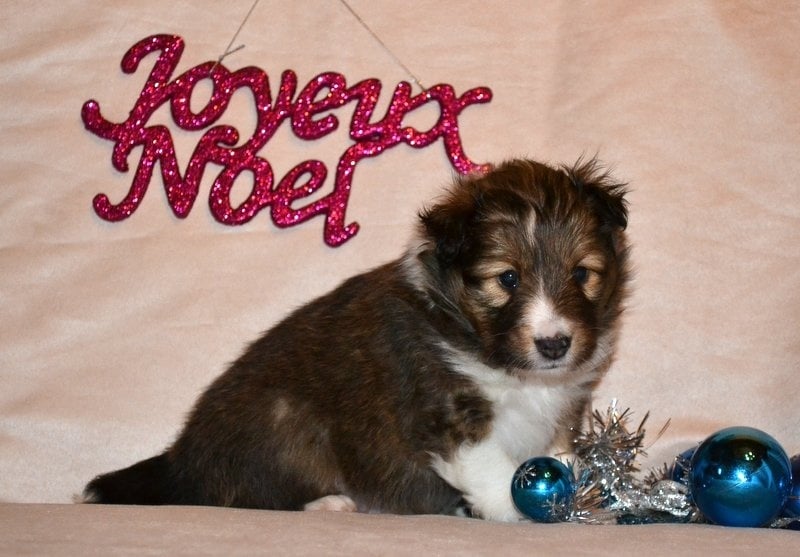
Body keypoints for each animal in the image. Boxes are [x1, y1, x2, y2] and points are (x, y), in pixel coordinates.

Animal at [83, 158, 630, 521]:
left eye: (582, 274)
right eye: (507, 279)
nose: (554, 345)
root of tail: (180, 460)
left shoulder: (563, 404)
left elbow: (557, 452)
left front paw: (579, 492)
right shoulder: (446, 412)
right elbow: (496, 473)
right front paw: (525, 513)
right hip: (284, 421)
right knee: (238, 495)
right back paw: (326, 503)